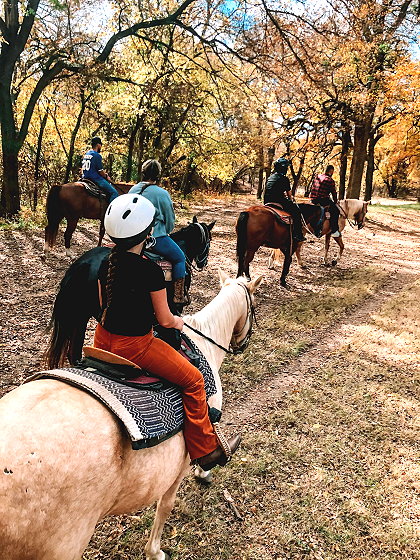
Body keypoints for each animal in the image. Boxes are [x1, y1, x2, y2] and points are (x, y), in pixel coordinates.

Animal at [0, 271, 263, 560]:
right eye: (254, 307)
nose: (243, 344)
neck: (204, 344)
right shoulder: (182, 460)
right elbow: (167, 503)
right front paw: (155, 551)